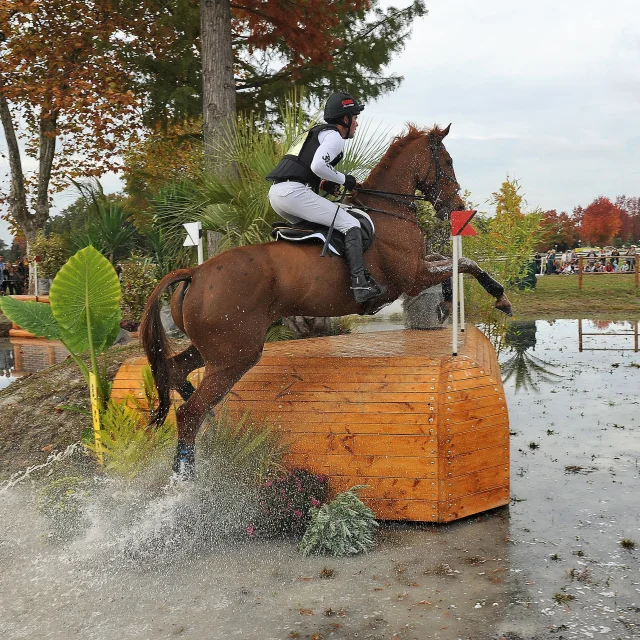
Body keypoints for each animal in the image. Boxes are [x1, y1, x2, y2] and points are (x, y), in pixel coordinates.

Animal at [142, 125, 512, 478]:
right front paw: (499, 297)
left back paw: (207, 435)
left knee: (177, 374)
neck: (389, 210)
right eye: (447, 162)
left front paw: (451, 303)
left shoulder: (418, 269)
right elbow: (463, 264)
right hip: (236, 355)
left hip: (216, 349)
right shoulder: (412, 275)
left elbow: (452, 264)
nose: (456, 208)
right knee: (190, 412)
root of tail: (196, 272)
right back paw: (186, 476)